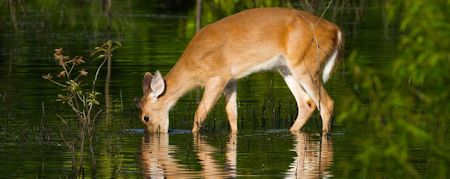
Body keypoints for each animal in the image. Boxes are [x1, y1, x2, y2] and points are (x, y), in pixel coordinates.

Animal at [141, 8, 344, 134]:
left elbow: (200, 112)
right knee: (306, 103)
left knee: (327, 103)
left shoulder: (217, 76)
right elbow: (232, 113)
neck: (192, 67)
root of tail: (337, 31)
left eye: (146, 117)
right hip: (286, 68)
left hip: (305, 65)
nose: (154, 135)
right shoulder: (231, 79)